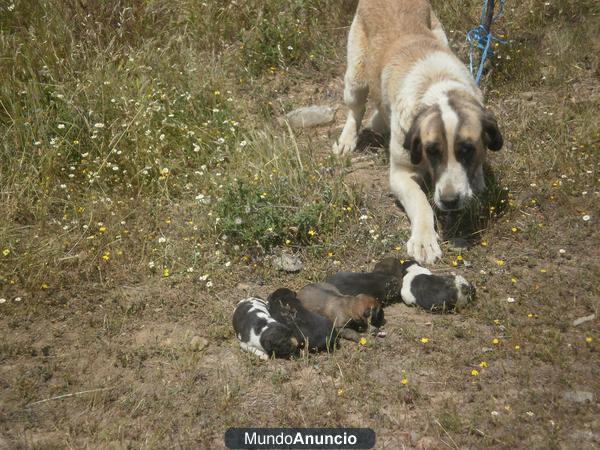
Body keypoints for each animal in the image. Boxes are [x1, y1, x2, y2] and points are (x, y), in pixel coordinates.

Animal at [336, 0, 504, 264]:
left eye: (467, 150)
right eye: (431, 151)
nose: (449, 201)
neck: (436, 87)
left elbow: (476, 181)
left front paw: (476, 181)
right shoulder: (400, 175)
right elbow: (421, 202)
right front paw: (424, 241)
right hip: (356, 77)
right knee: (356, 107)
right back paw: (347, 139)